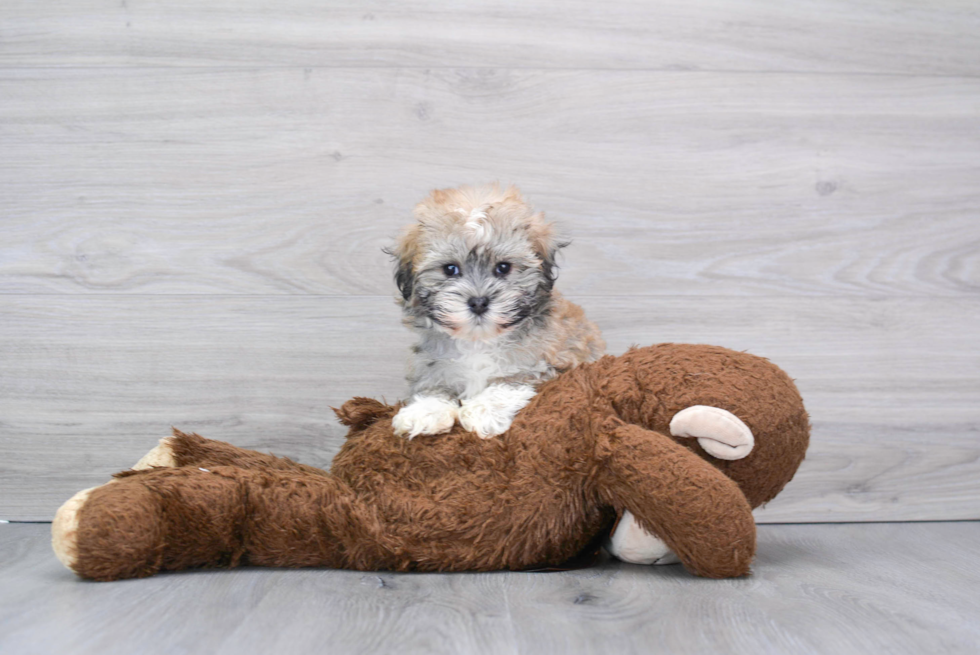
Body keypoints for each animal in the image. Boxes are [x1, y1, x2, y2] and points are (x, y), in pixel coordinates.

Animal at [384, 183, 600, 440]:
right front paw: (424, 411)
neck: (479, 341)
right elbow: (433, 384)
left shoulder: (548, 362)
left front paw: (483, 411)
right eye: (450, 269)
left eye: (503, 268)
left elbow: (509, 380)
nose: (478, 302)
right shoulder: (431, 362)